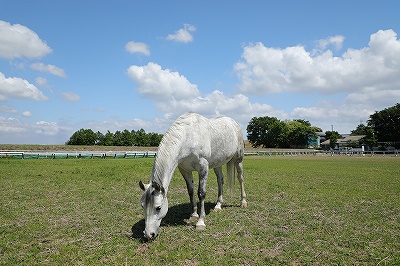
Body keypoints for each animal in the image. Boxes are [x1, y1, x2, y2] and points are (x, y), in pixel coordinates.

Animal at [141, 111, 247, 240]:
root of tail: (234, 123)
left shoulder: (203, 167)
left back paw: (243, 202)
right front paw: (194, 215)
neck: (187, 136)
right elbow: (191, 191)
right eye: (143, 206)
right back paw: (218, 205)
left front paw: (200, 222)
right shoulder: (185, 170)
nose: (148, 234)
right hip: (218, 163)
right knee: (220, 180)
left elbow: (201, 193)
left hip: (238, 159)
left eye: (158, 207)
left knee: (240, 178)